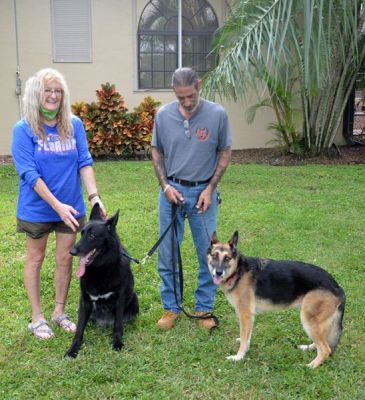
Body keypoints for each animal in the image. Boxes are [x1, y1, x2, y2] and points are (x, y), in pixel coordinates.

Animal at [64, 205, 139, 358]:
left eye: (92, 235)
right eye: (82, 233)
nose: (71, 251)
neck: (100, 269)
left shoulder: (120, 300)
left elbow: (118, 326)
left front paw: (117, 343)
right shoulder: (85, 301)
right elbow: (79, 329)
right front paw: (73, 349)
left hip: (134, 298)